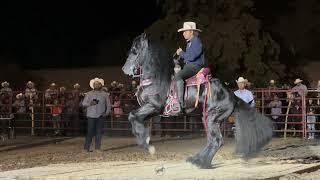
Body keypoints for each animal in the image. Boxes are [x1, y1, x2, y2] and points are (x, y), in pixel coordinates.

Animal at [121, 32, 272, 169]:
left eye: (135, 51)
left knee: (216, 140)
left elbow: (132, 116)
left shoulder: (153, 106)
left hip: (212, 117)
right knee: (212, 140)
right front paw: (145, 139)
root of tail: (232, 95)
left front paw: (148, 146)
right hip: (208, 118)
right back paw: (196, 160)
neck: (156, 79)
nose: (124, 69)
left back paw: (201, 163)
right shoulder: (151, 110)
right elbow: (135, 119)